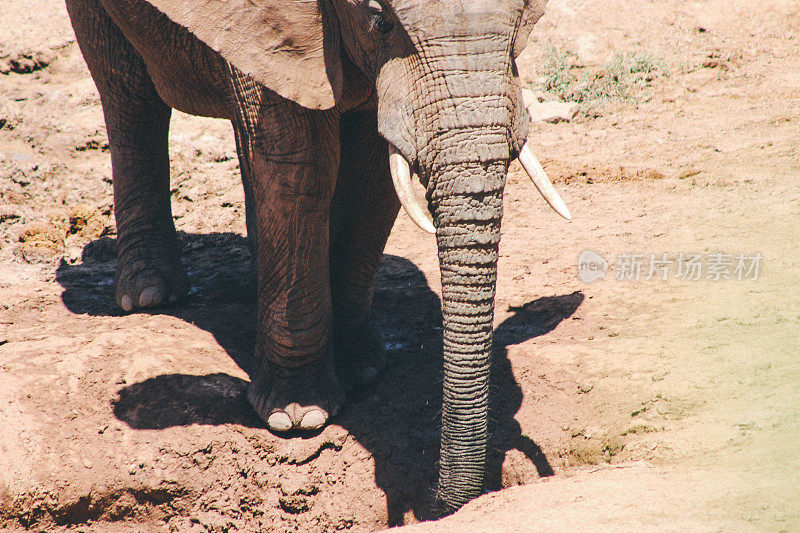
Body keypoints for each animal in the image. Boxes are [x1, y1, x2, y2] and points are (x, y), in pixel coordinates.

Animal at [65, 0, 572, 510]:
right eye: (381, 21)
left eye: (522, 19)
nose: (435, 496)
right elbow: (299, 163)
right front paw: (297, 417)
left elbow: (373, 169)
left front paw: (361, 369)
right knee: (127, 95)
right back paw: (148, 294)